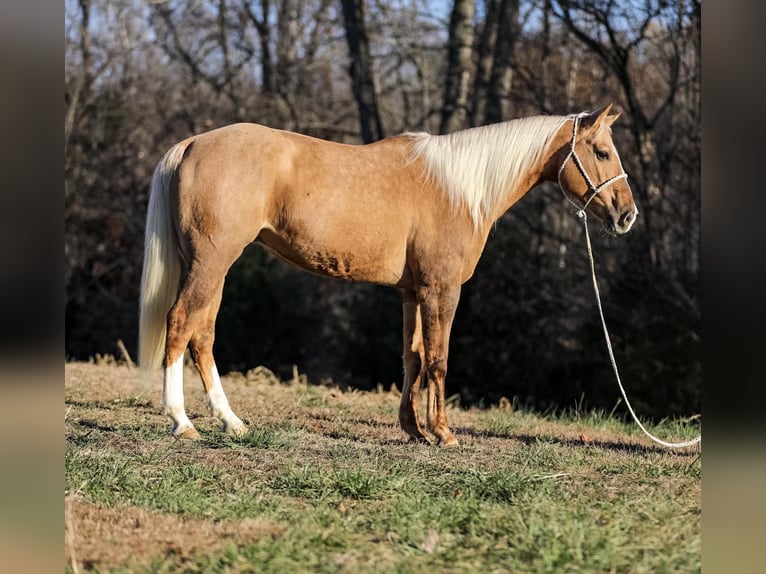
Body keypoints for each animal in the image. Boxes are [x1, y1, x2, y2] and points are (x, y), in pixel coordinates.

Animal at [138, 104, 636, 450]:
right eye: (603, 151)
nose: (627, 215)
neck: (459, 189)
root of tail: (194, 143)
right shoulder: (440, 290)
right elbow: (438, 359)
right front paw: (444, 434)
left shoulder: (411, 293)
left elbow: (412, 358)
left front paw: (414, 431)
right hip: (210, 263)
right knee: (180, 325)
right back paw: (182, 422)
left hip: (213, 268)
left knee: (203, 335)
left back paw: (232, 422)